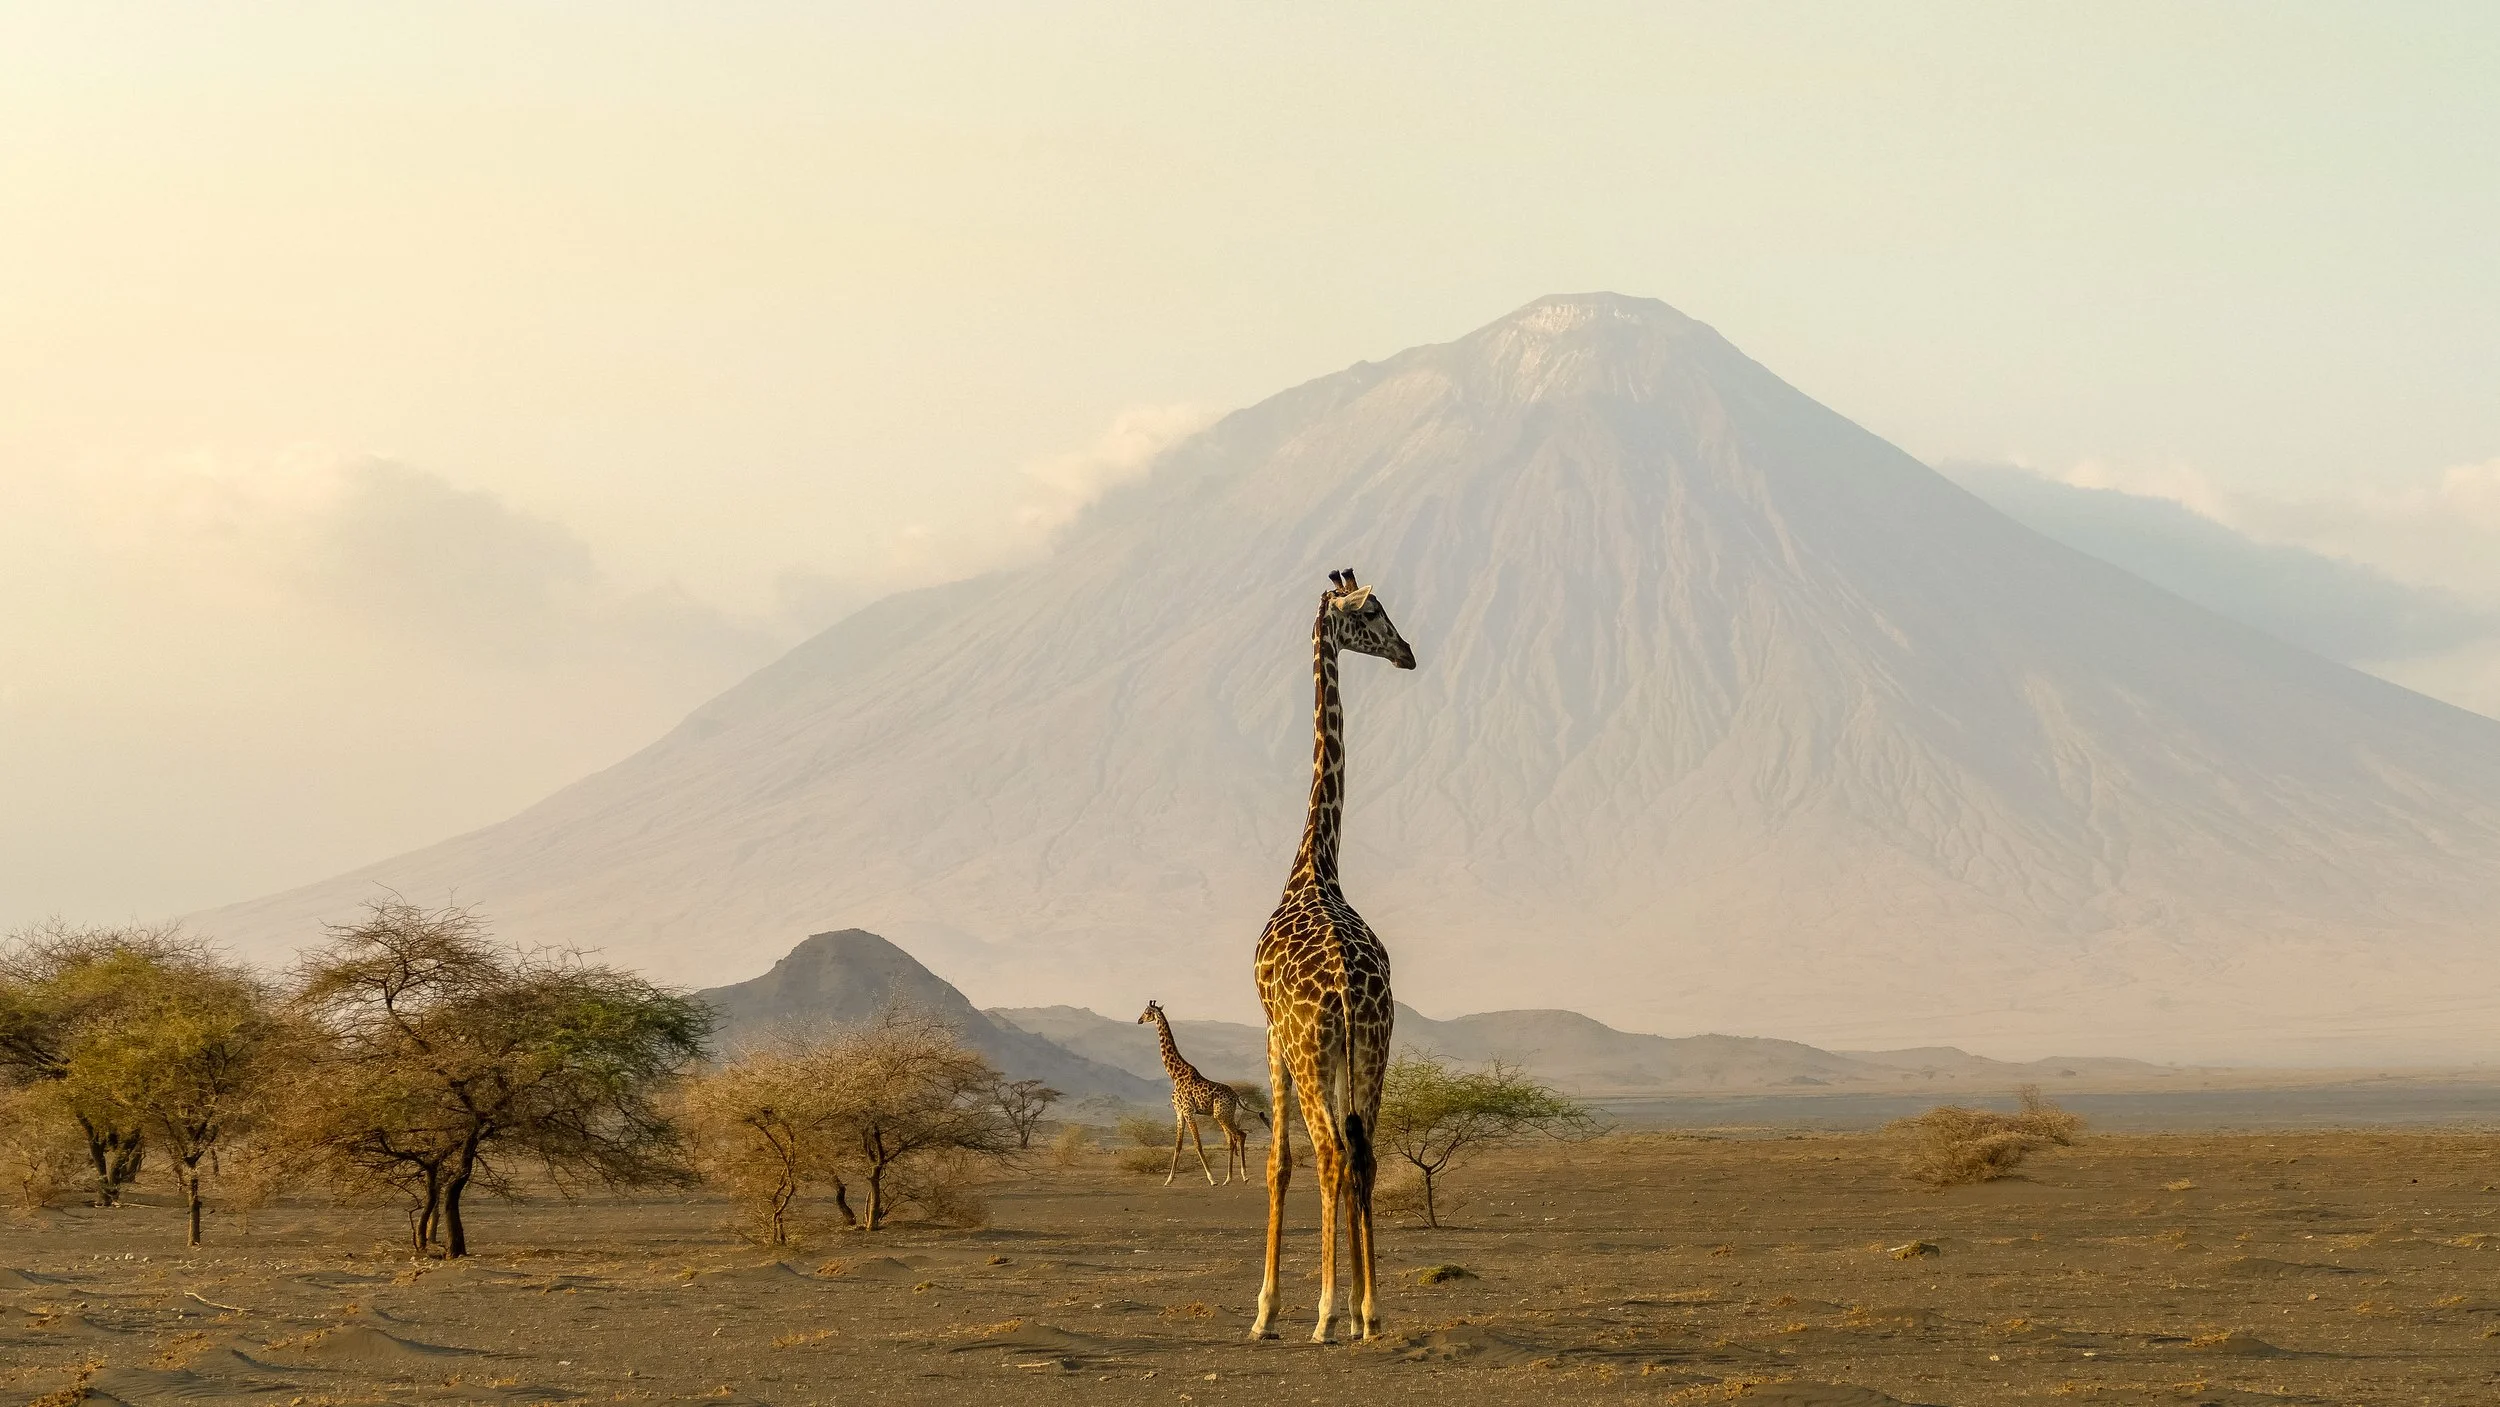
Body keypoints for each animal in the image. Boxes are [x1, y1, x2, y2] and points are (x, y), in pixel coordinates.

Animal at [1137, 1000, 1259, 1185]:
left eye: (1146, 1011)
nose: (1139, 1020)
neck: (1174, 1074)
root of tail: (1236, 1096)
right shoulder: (1179, 1112)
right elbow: (1178, 1144)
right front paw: (1169, 1179)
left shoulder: (1188, 1110)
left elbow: (1197, 1143)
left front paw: (1211, 1179)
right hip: (1224, 1115)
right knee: (1232, 1139)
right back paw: (1228, 1178)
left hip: (1221, 1114)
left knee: (1240, 1135)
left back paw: (1244, 1176)